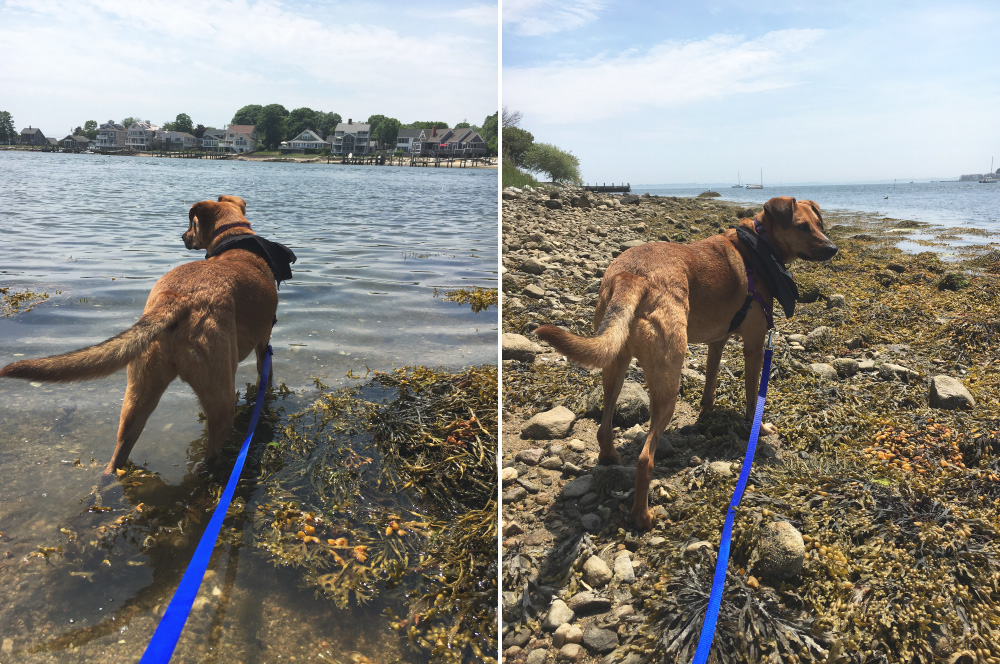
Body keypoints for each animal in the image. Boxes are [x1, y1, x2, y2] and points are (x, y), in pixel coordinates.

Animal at [1, 195, 292, 474]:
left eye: (191, 225)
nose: (182, 236)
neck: (235, 241)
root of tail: (175, 299)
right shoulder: (264, 346)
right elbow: (265, 376)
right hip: (220, 395)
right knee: (210, 453)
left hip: (139, 391)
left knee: (117, 454)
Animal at [540, 196, 836, 528]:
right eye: (802, 227)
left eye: (819, 224)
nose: (833, 248)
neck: (759, 247)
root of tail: (632, 276)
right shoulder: (755, 344)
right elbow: (752, 396)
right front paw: (756, 426)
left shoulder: (717, 341)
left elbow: (710, 384)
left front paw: (705, 415)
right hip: (668, 381)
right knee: (645, 458)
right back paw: (643, 517)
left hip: (614, 365)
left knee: (604, 426)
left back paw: (609, 457)